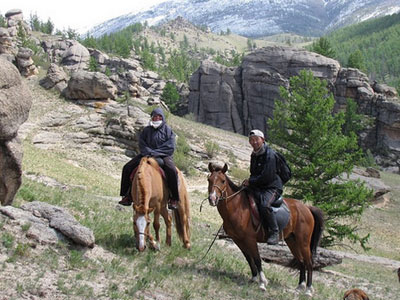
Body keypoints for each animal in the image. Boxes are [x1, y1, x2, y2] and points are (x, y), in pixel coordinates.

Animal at [208, 162, 324, 296]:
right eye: (209, 179)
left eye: (222, 181)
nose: (212, 199)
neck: (238, 207)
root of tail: (307, 208)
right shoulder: (238, 240)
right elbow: (248, 258)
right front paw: (253, 278)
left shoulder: (250, 239)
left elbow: (257, 259)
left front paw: (262, 283)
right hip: (292, 241)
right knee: (301, 261)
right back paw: (300, 286)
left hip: (303, 242)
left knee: (309, 262)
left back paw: (308, 290)